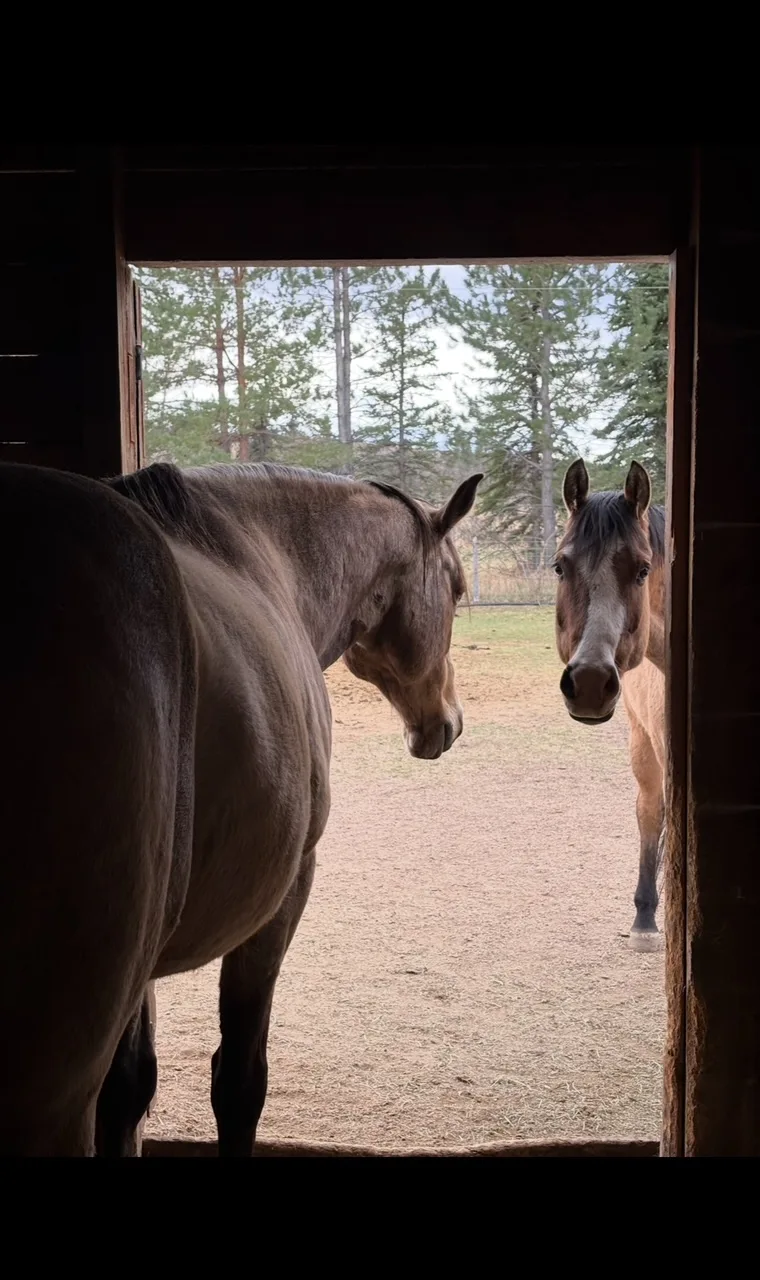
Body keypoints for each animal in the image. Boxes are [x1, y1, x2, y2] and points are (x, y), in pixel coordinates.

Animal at [0, 459, 481, 1156]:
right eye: (459, 587)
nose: (448, 723)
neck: (266, 556)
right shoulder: (284, 896)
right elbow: (239, 1080)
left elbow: (130, 1087)